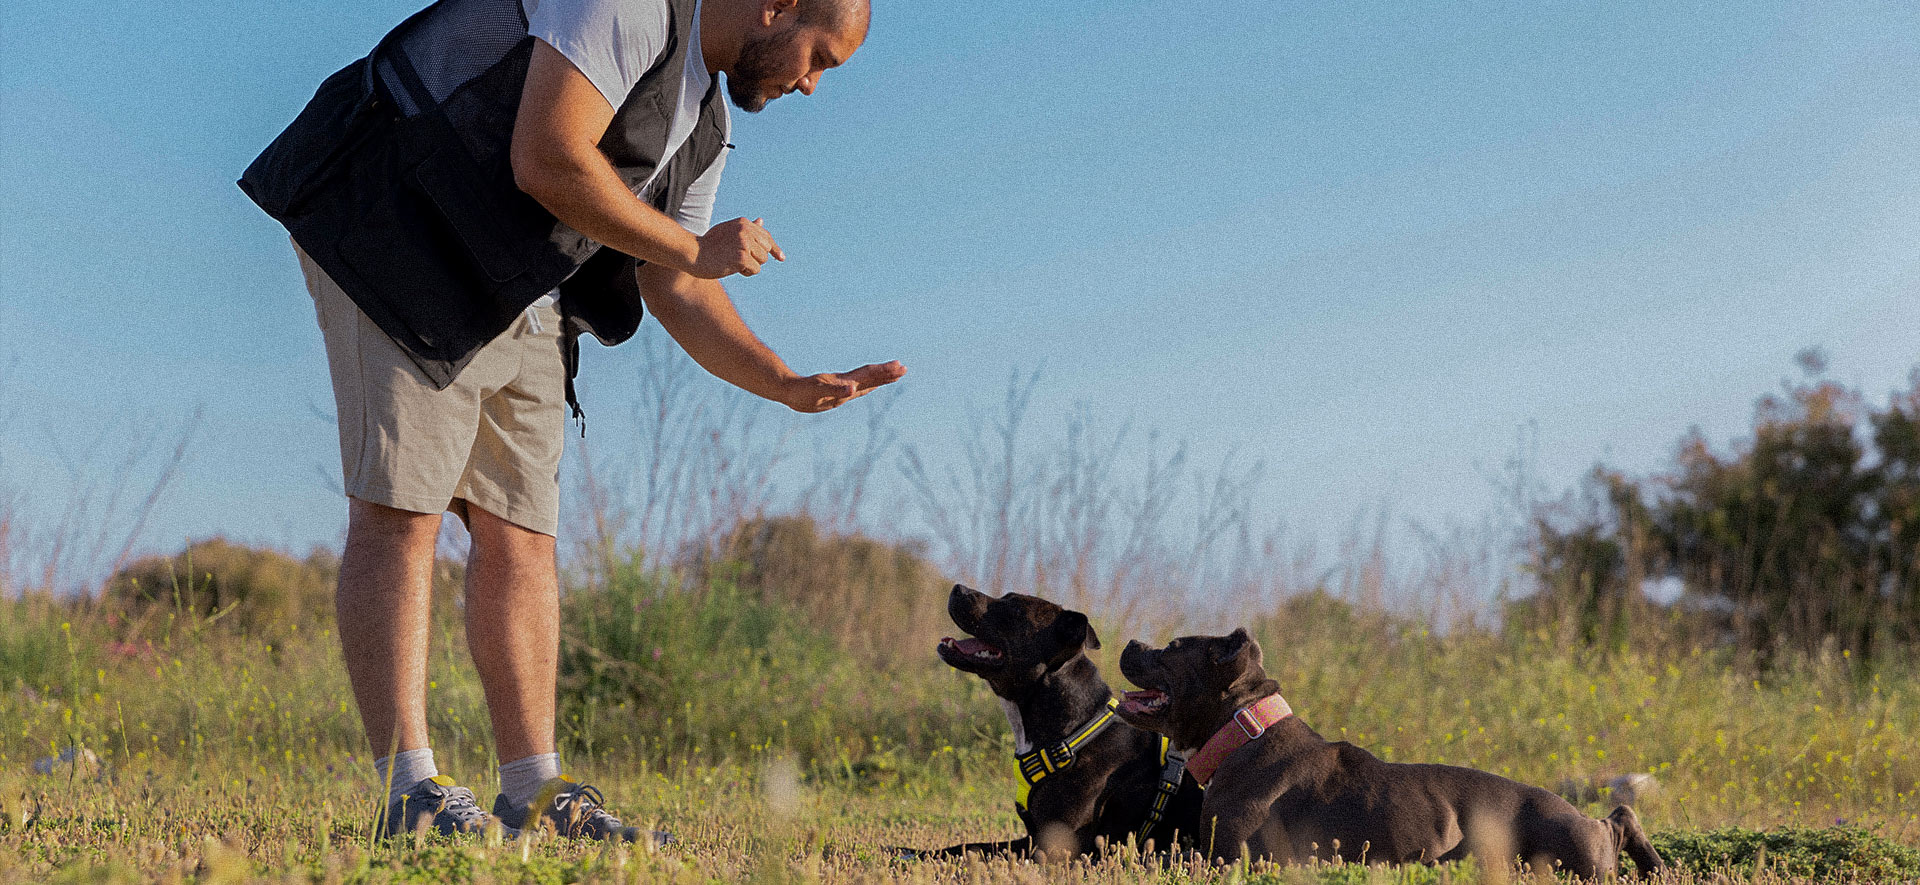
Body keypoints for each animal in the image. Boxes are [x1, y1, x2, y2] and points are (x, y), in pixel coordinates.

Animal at [890, 583, 1190, 860]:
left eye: (1013, 609)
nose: (957, 587)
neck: (1071, 732)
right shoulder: (1032, 836)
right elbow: (971, 846)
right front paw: (906, 851)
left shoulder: (1055, 850)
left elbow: (988, 855)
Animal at [1113, 629, 1666, 875]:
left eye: (1172, 647)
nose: (1132, 641)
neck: (1243, 729)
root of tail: (1579, 817)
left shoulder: (1230, 856)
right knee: (1624, 813)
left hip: (1566, 852)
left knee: (1615, 822)